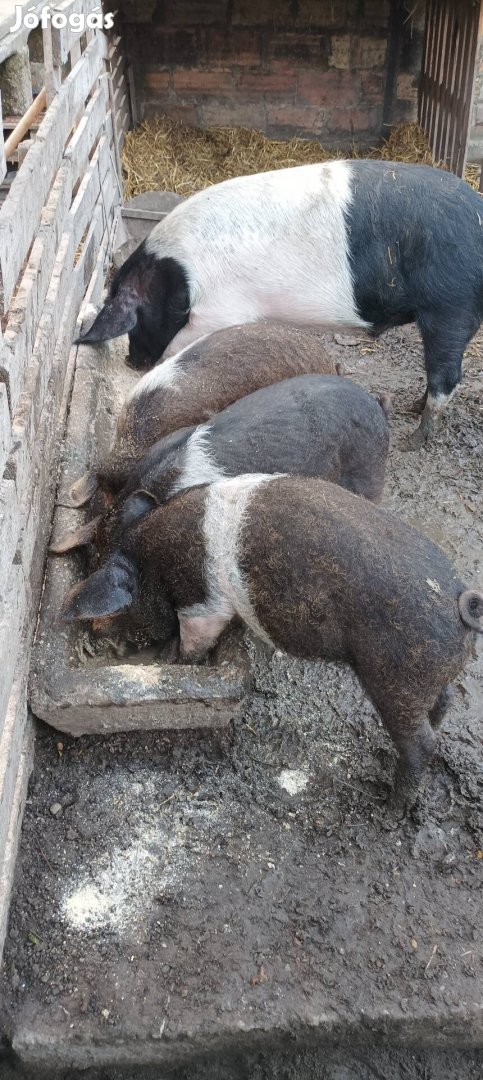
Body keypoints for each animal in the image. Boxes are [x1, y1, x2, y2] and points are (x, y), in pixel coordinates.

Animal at [60, 477, 483, 812]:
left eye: (121, 613)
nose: (97, 635)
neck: (151, 561)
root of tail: (459, 601)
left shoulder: (205, 604)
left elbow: (196, 636)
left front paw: (173, 658)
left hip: (397, 679)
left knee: (421, 743)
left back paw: (388, 808)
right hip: (423, 678)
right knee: (443, 702)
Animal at [77, 157, 483, 444]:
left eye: (136, 322)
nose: (131, 362)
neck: (178, 278)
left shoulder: (218, 311)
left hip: (450, 306)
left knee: (447, 376)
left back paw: (415, 439)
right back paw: (412, 409)